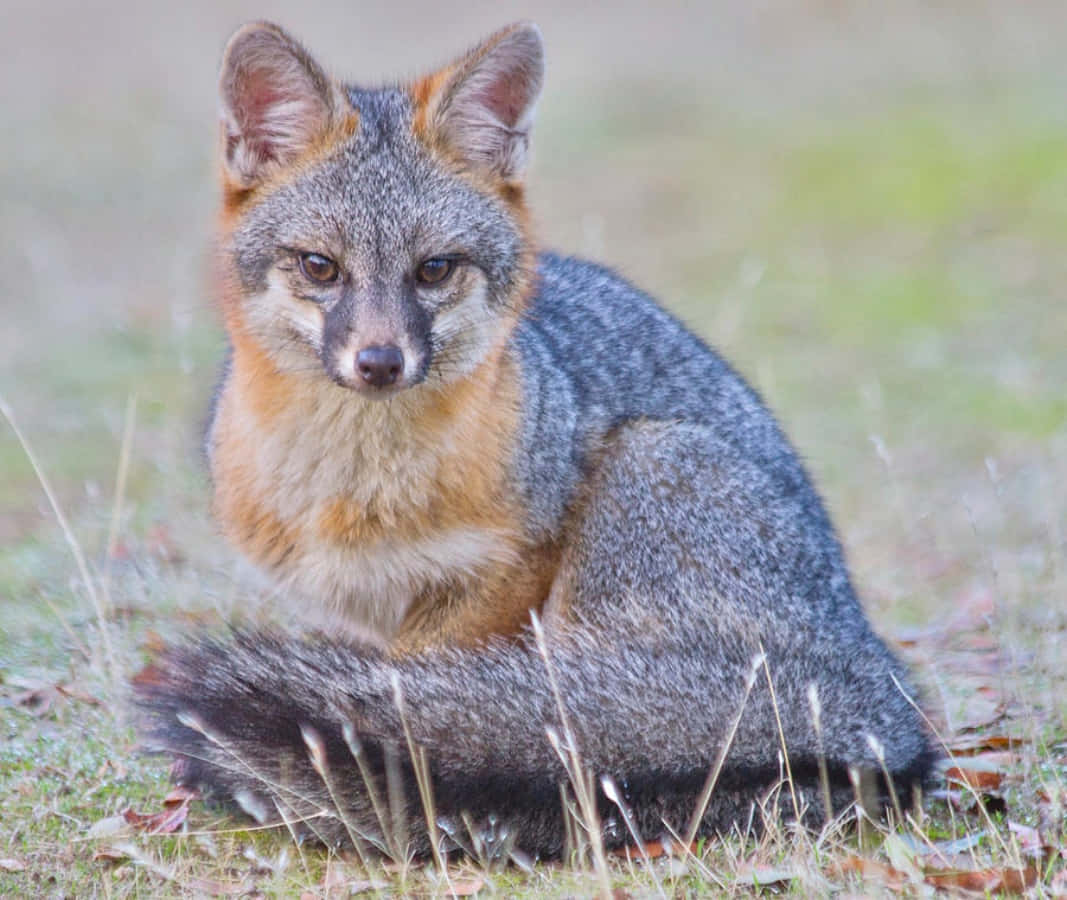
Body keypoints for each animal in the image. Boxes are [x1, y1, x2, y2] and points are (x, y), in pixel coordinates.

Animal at [135, 21, 935, 859]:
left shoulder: (501, 579)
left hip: (644, 470)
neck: (357, 484)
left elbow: (417, 707)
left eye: (434, 269)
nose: (380, 362)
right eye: (320, 267)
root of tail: (876, 683)